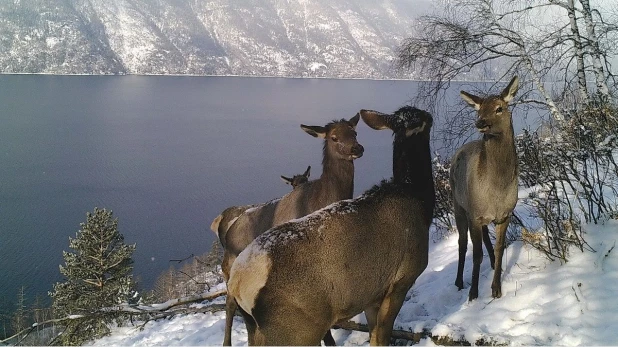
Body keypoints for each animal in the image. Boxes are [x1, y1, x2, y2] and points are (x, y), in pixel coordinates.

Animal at [226, 107, 434, 346]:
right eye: (421, 119)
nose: (430, 114)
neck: (419, 200)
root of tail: (237, 281)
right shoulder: (401, 279)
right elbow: (382, 338)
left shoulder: (372, 295)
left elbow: (373, 337)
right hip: (295, 329)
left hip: (256, 325)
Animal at [448, 76, 520, 302]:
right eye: (479, 110)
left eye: (499, 108)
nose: (480, 123)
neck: (497, 188)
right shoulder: (474, 215)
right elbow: (476, 254)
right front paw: (473, 293)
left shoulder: (505, 214)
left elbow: (500, 248)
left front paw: (496, 289)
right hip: (458, 205)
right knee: (462, 244)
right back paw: (459, 281)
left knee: (486, 238)